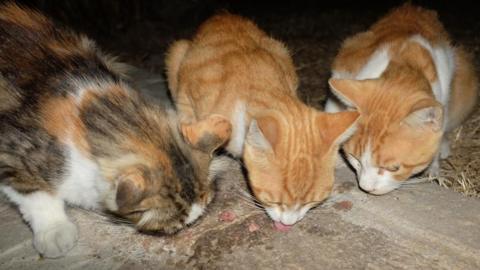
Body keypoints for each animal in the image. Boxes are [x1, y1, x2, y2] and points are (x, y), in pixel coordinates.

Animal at [167, 12, 358, 228]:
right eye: (275, 201)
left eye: (310, 202)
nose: (288, 224)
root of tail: (222, 14)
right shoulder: (188, 95)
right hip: (177, 51)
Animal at [324, 3, 478, 194]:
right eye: (355, 159)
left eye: (393, 168)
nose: (365, 187)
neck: (402, 62)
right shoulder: (343, 70)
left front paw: (433, 167)